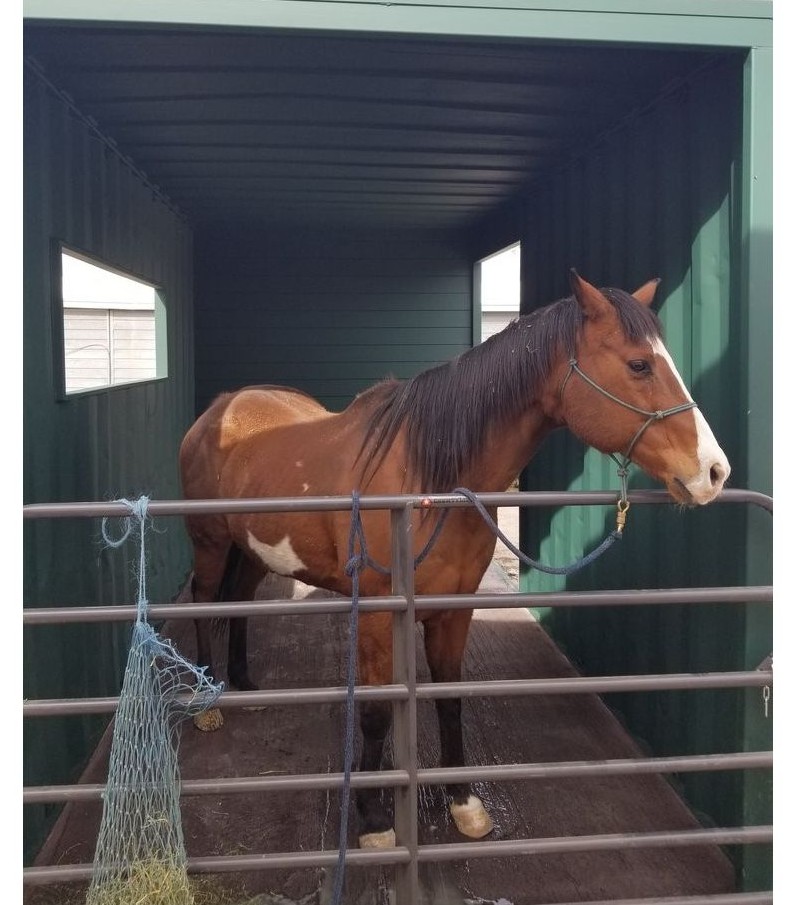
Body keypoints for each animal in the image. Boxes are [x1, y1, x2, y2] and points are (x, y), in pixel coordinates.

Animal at [178, 270, 730, 849]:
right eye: (639, 364)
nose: (714, 472)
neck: (429, 481)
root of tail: (222, 407)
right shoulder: (376, 616)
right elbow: (375, 712)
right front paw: (373, 820)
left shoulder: (454, 611)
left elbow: (450, 698)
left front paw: (464, 802)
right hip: (210, 542)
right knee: (203, 599)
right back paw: (207, 704)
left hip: (252, 549)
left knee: (240, 601)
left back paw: (243, 685)